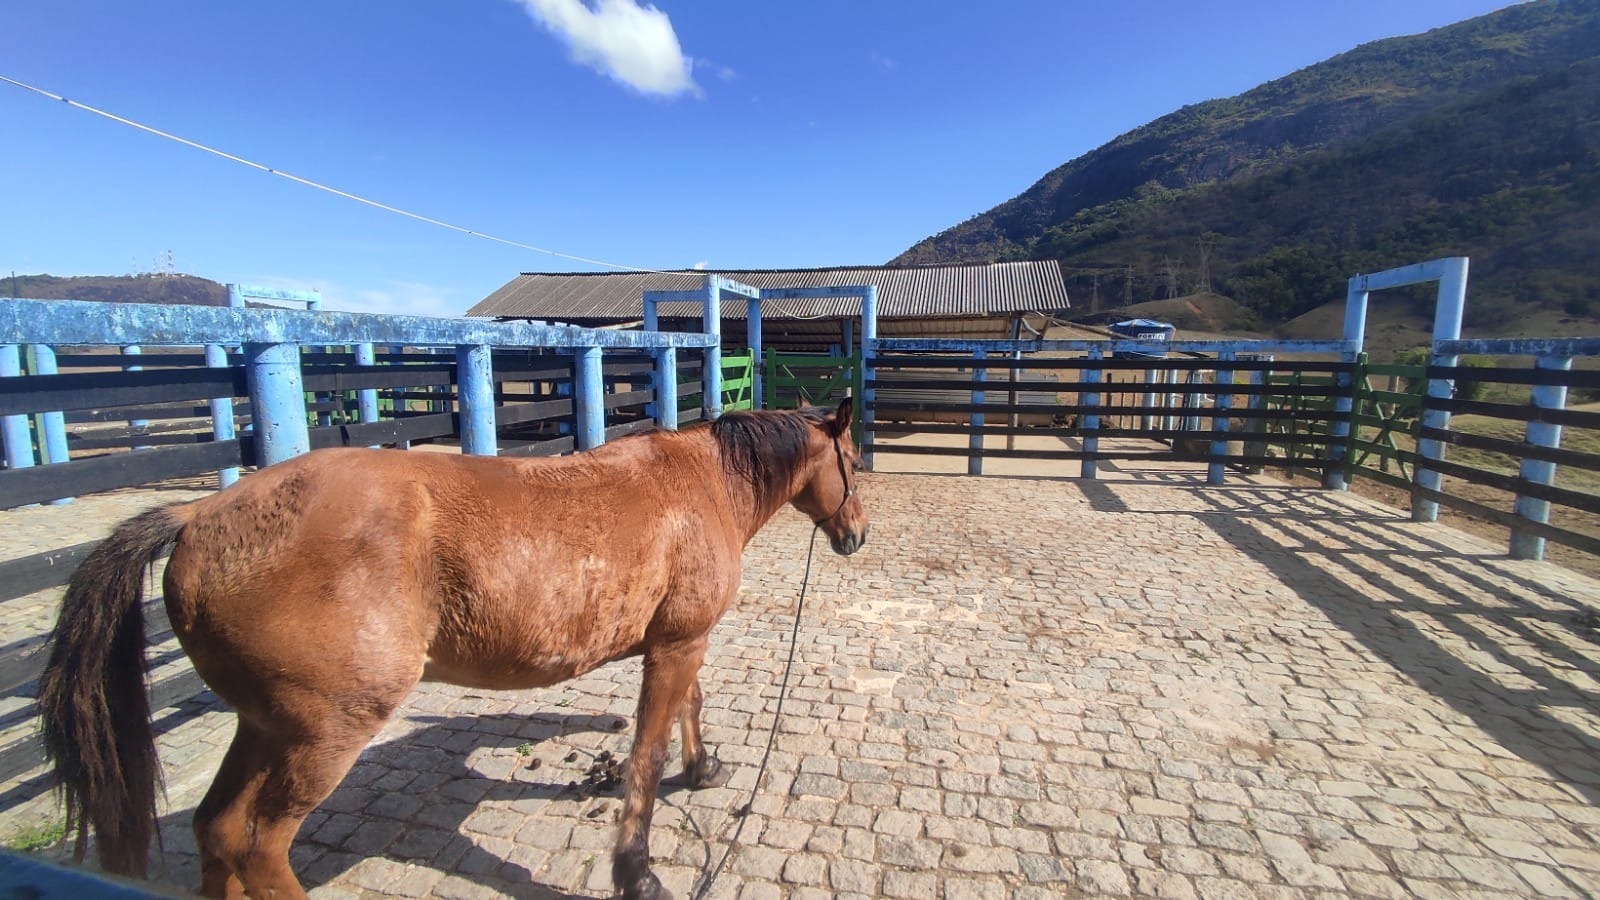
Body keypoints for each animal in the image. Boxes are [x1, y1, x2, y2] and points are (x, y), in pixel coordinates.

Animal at [34, 398, 864, 896]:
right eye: (855, 462)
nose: (855, 535)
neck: (699, 483)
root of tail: (199, 516)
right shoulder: (676, 645)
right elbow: (646, 757)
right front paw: (638, 870)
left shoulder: (679, 641)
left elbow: (687, 712)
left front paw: (703, 769)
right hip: (322, 734)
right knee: (260, 844)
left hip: (266, 726)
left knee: (219, 830)